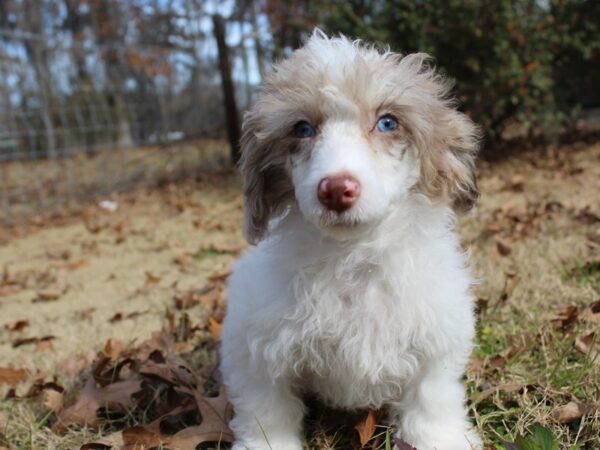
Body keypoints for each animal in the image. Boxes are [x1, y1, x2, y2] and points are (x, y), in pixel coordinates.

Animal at [220, 31, 482, 450]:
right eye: (302, 129)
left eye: (388, 122)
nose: (336, 189)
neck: (354, 259)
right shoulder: (255, 349)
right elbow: (267, 408)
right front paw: (267, 442)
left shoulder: (436, 338)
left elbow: (431, 397)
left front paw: (441, 438)